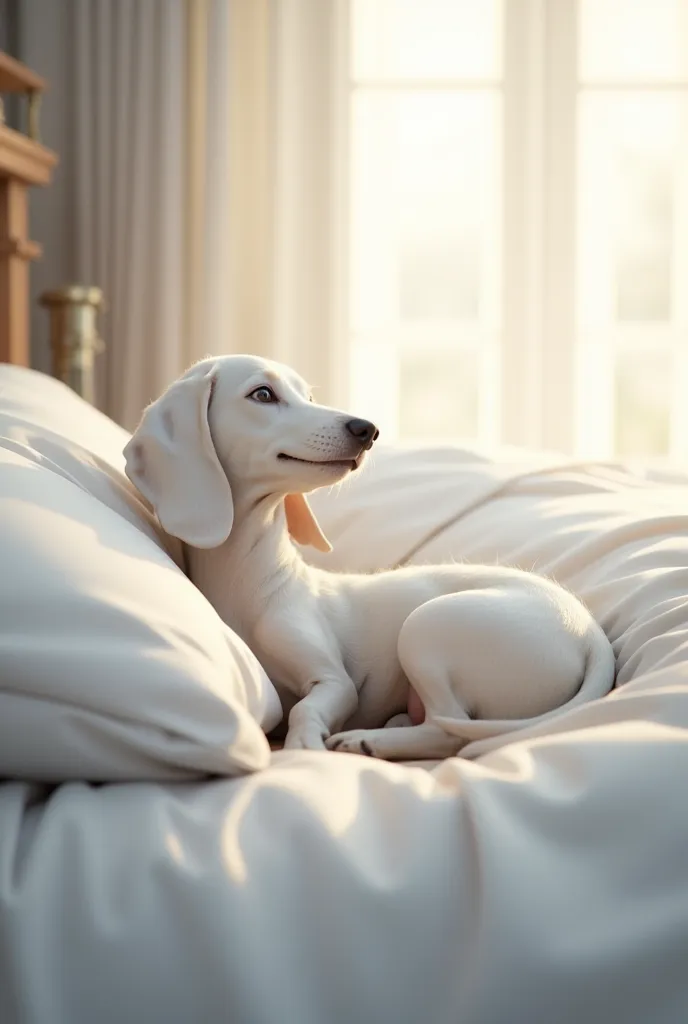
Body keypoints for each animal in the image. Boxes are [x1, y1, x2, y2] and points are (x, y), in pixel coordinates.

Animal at [124, 354, 618, 761]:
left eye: (309, 396)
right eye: (262, 394)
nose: (366, 429)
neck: (250, 576)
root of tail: (591, 633)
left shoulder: (335, 682)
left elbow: (305, 708)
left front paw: (305, 745)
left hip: (426, 624)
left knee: (449, 732)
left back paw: (371, 740)